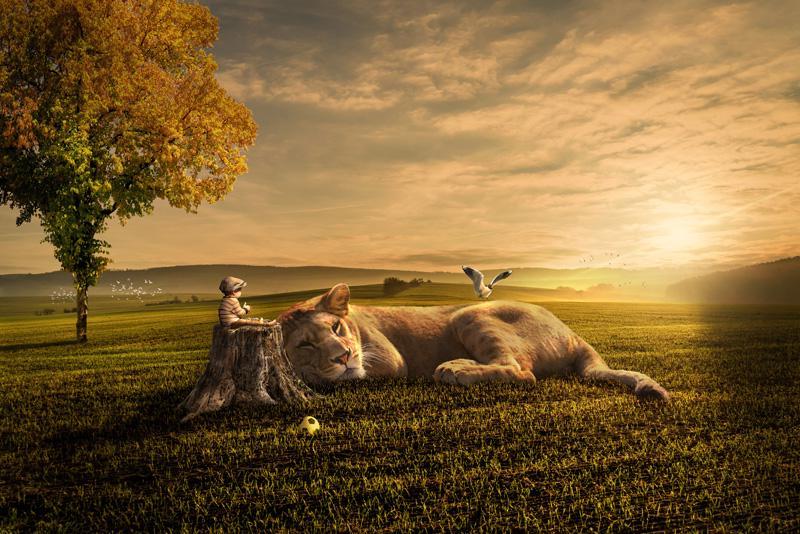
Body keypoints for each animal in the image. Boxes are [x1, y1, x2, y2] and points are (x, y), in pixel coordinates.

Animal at [278, 283, 670, 400]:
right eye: (305, 345)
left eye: (337, 328)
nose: (343, 356)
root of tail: (575, 335)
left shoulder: (388, 358)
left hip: (470, 315)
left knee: (520, 372)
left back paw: (456, 369)